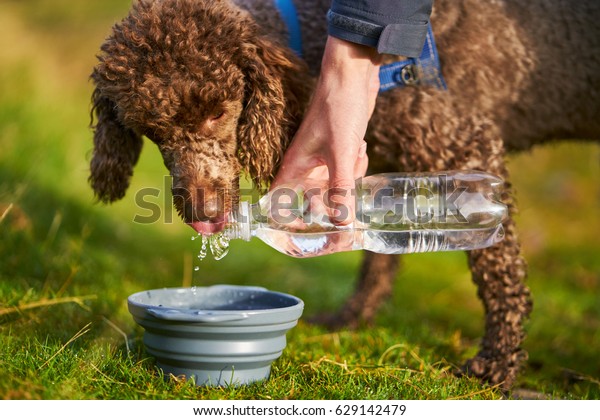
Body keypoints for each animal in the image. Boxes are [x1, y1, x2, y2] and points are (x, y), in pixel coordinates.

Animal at [89, 0, 600, 390]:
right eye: (150, 129)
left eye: (217, 111)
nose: (203, 212)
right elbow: (378, 255)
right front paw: (355, 316)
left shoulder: (466, 143)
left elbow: (499, 270)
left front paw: (498, 361)